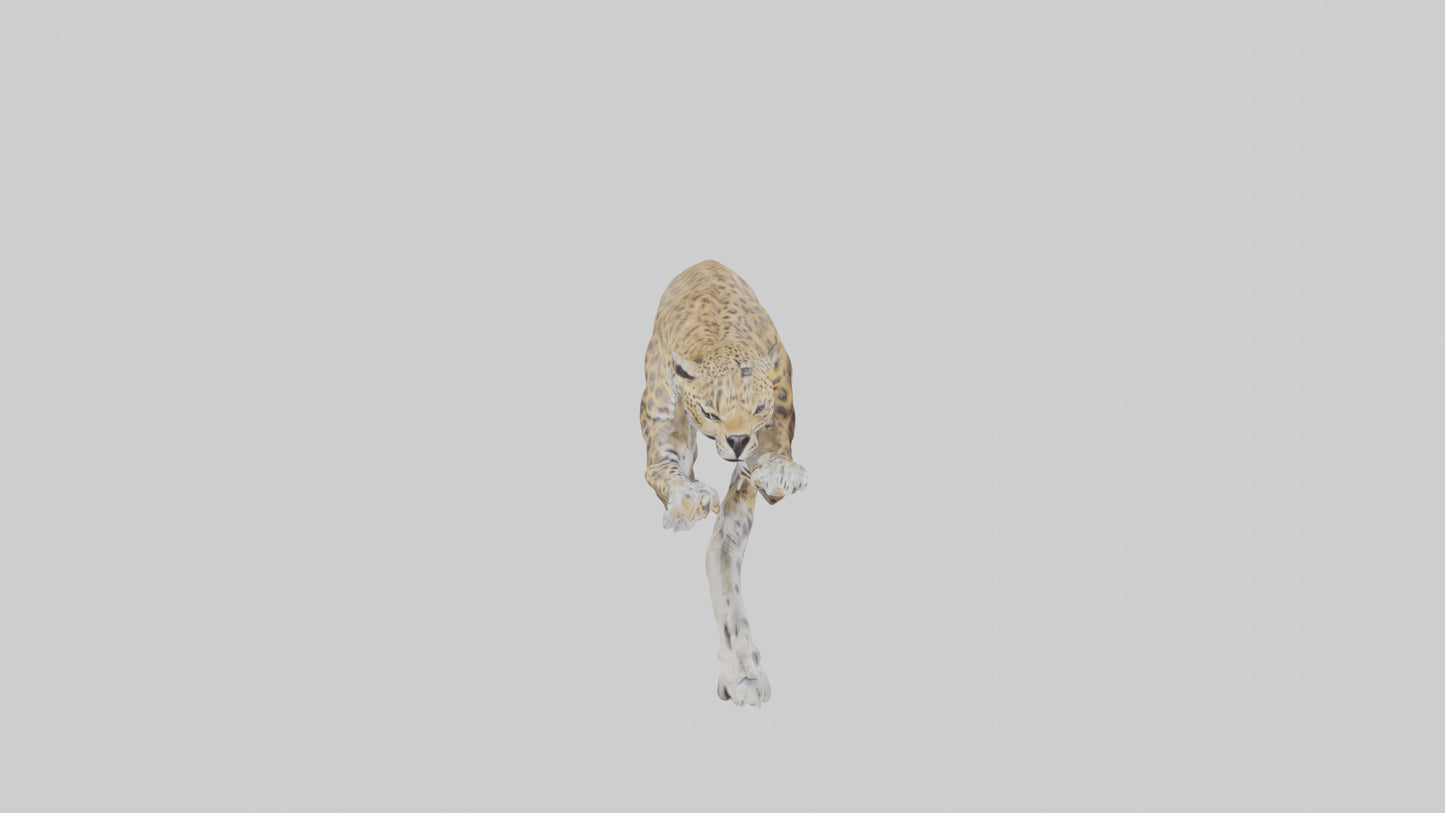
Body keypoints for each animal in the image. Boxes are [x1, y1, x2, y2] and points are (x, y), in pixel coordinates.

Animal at [639, 260, 808, 707]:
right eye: (711, 412)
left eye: (759, 407)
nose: (736, 441)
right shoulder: (664, 439)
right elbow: (667, 472)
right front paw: (690, 498)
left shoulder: (773, 422)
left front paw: (780, 472)